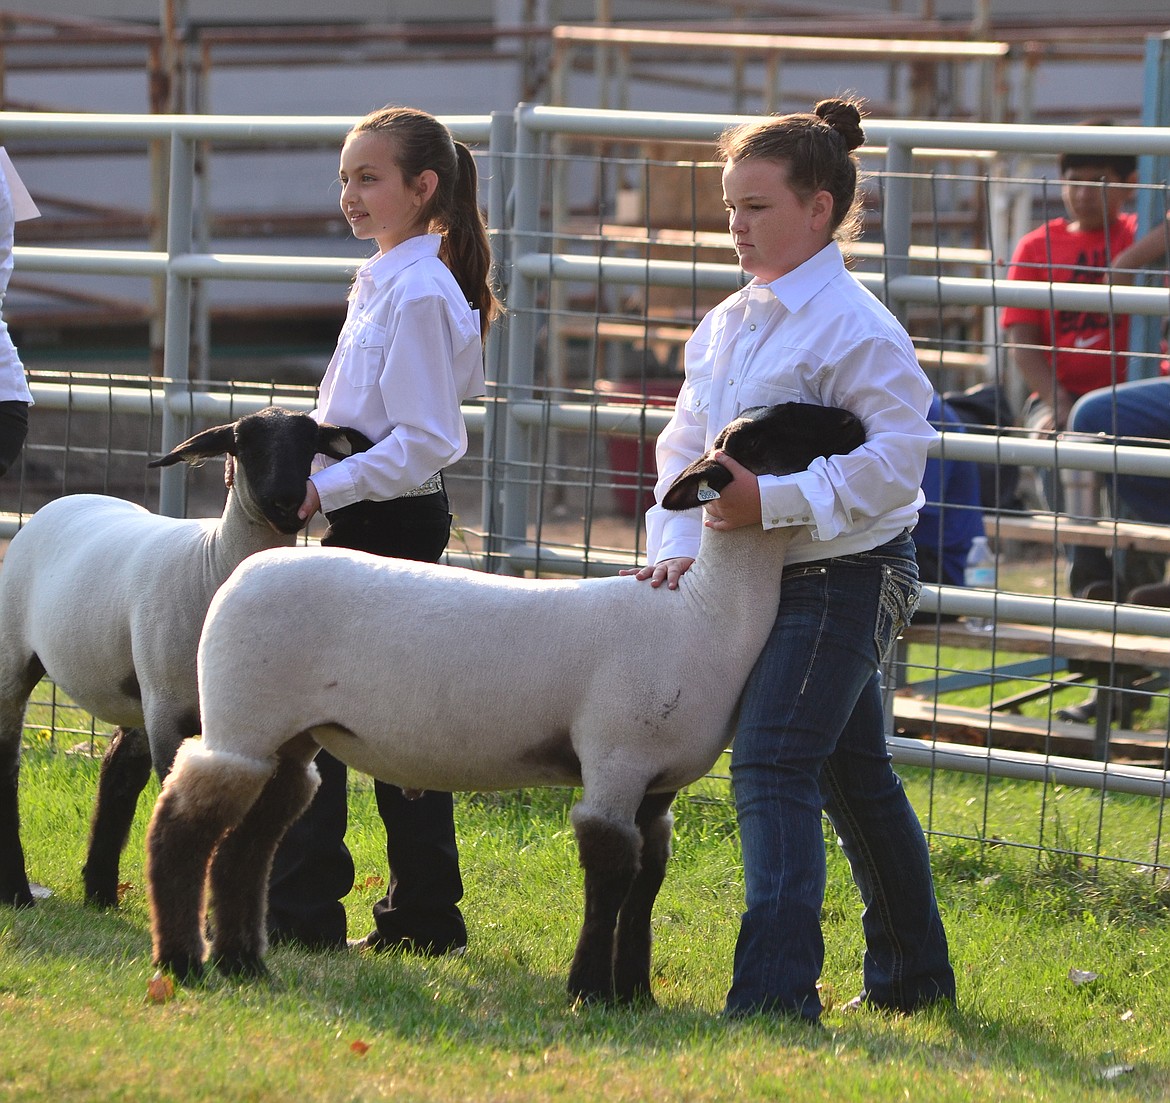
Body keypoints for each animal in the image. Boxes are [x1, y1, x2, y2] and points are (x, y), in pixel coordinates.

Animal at [0, 409, 369, 912]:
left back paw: (100, 893)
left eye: (309, 442)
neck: (210, 562)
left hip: (139, 691)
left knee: (118, 770)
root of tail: (64, 501)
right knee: (9, 763)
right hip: (18, 657)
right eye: (243, 444)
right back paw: (18, 891)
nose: (286, 501)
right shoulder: (169, 715)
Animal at [146, 400, 865, 1005]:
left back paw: (244, 962)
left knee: (248, 840)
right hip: (239, 716)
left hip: (285, 736)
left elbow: (646, 881)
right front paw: (589, 991)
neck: (703, 613)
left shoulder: (659, 785)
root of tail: (243, 572)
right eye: (782, 428)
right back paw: (183, 963)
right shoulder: (615, 759)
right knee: (183, 824)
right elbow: (611, 870)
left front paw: (636, 995)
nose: (856, 422)